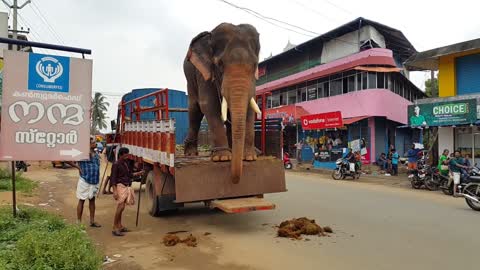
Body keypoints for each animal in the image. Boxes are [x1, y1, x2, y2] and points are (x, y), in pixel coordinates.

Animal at [183, 22, 260, 184]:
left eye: (255, 64)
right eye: (220, 64)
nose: (235, 181)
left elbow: (251, 106)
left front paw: (250, 157)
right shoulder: (204, 73)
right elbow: (209, 105)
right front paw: (222, 158)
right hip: (190, 80)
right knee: (194, 110)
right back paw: (191, 154)